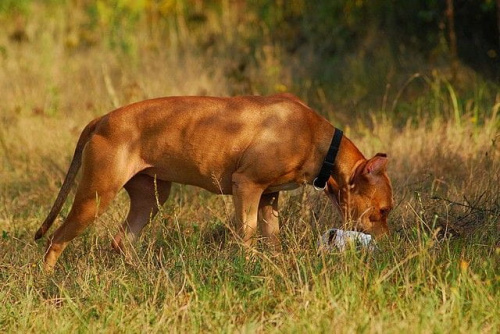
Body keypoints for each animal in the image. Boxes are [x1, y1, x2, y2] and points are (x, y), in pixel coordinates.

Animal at [36, 92, 394, 270]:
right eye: (383, 211)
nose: (388, 245)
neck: (322, 144)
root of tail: (101, 120)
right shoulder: (246, 186)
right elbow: (247, 233)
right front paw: (249, 265)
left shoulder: (269, 198)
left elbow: (272, 237)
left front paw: (275, 263)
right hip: (95, 196)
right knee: (56, 240)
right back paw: (48, 281)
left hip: (150, 199)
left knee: (122, 240)